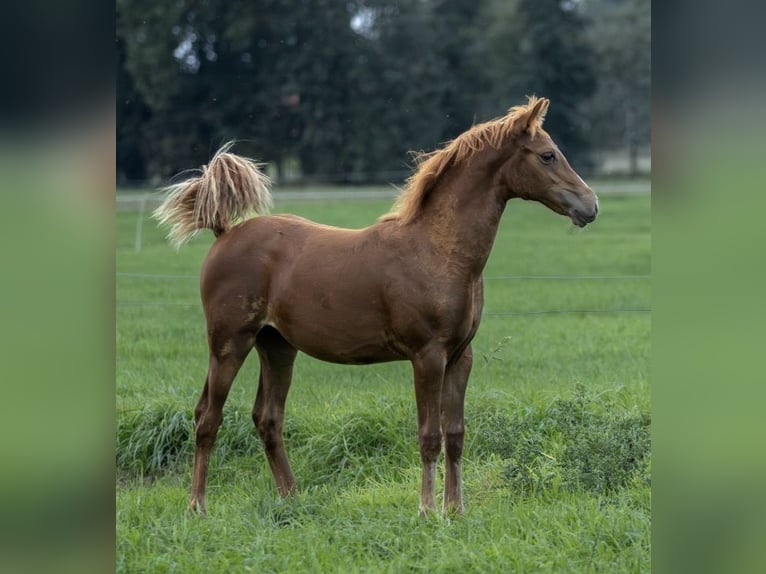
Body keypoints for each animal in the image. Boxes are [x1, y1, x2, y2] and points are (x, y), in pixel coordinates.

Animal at [153, 96, 599, 516]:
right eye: (547, 154)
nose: (590, 205)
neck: (438, 250)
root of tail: (224, 233)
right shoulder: (427, 356)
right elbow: (430, 436)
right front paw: (427, 511)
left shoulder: (460, 356)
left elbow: (455, 435)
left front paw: (456, 510)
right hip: (229, 343)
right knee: (208, 417)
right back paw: (198, 506)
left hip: (277, 347)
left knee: (268, 419)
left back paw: (293, 500)